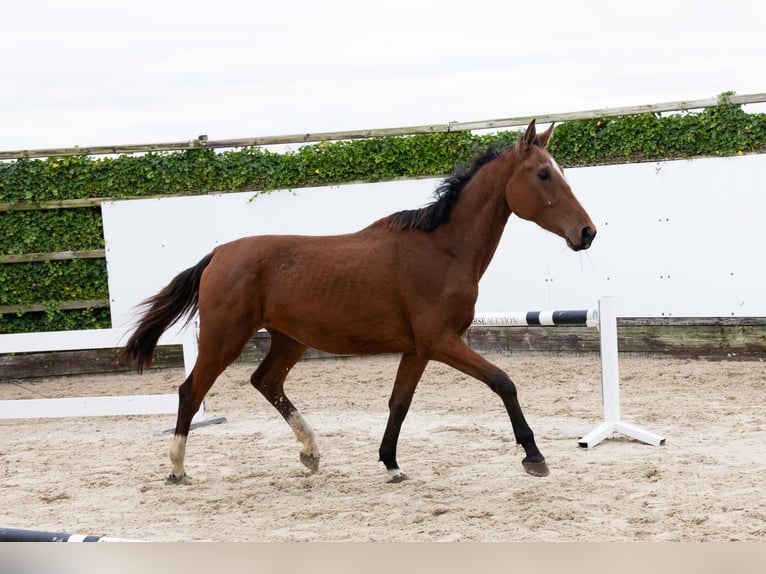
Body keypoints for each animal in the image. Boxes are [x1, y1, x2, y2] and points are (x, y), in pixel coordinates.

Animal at [118, 119, 596, 484]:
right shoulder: (441, 342)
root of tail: (218, 254)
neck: (443, 250)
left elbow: (399, 403)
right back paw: (177, 468)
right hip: (224, 339)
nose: (587, 232)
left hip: (288, 339)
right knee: (190, 391)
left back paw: (310, 452)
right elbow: (503, 382)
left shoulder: (419, 349)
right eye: (543, 174)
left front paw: (391, 463)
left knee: (266, 382)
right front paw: (534, 455)